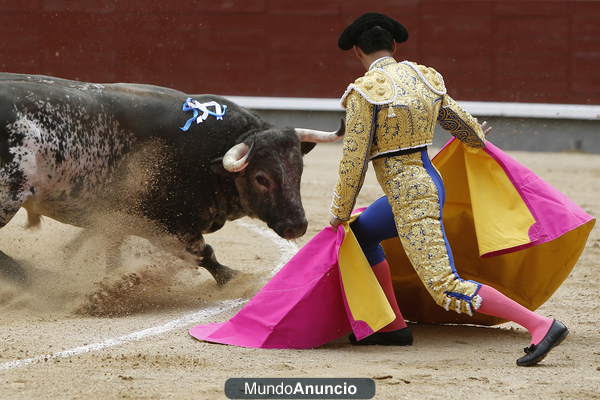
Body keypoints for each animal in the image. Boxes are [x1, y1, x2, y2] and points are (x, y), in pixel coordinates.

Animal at [0, 72, 344, 284]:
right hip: (7, 198)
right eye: (261, 178)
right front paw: (235, 279)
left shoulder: (116, 216)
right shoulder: (165, 226)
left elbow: (104, 244)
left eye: (299, 169)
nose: (297, 225)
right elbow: (205, 254)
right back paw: (29, 279)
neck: (210, 154)